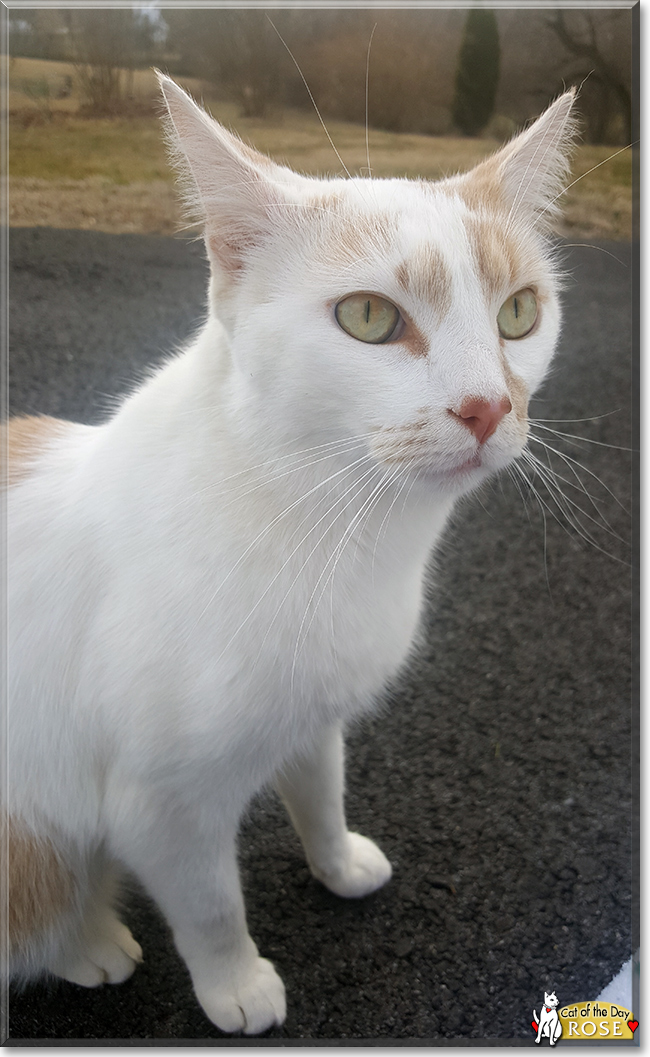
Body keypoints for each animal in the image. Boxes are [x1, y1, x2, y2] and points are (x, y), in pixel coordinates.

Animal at [2, 72, 579, 1031]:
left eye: (520, 311)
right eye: (369, 317)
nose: (489, 407)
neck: (325, 524)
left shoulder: (314, 710)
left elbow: (320, 787)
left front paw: (339, 862)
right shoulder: (162, 805)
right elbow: (210, 905)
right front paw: (237, 985)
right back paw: (87, 942)